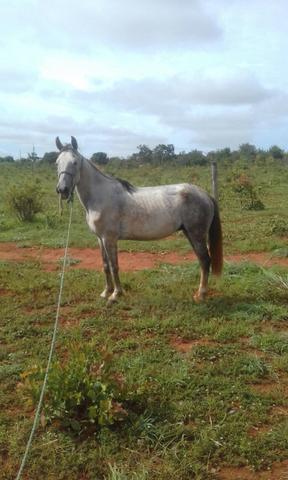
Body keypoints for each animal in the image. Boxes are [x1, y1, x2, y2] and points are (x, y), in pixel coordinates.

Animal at [55, 135, 223, 302]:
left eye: (75, 162)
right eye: (57, 163)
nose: (62, 190)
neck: (100, 196)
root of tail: (205, 194)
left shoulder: (109, 238)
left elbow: (114, 266)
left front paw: (115, 294)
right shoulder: (100, 239)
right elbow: (105, 265)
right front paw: (106, 292)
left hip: (197, 234)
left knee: (205, 261)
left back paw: (201, 294)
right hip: (189, 233)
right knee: (202, 261)